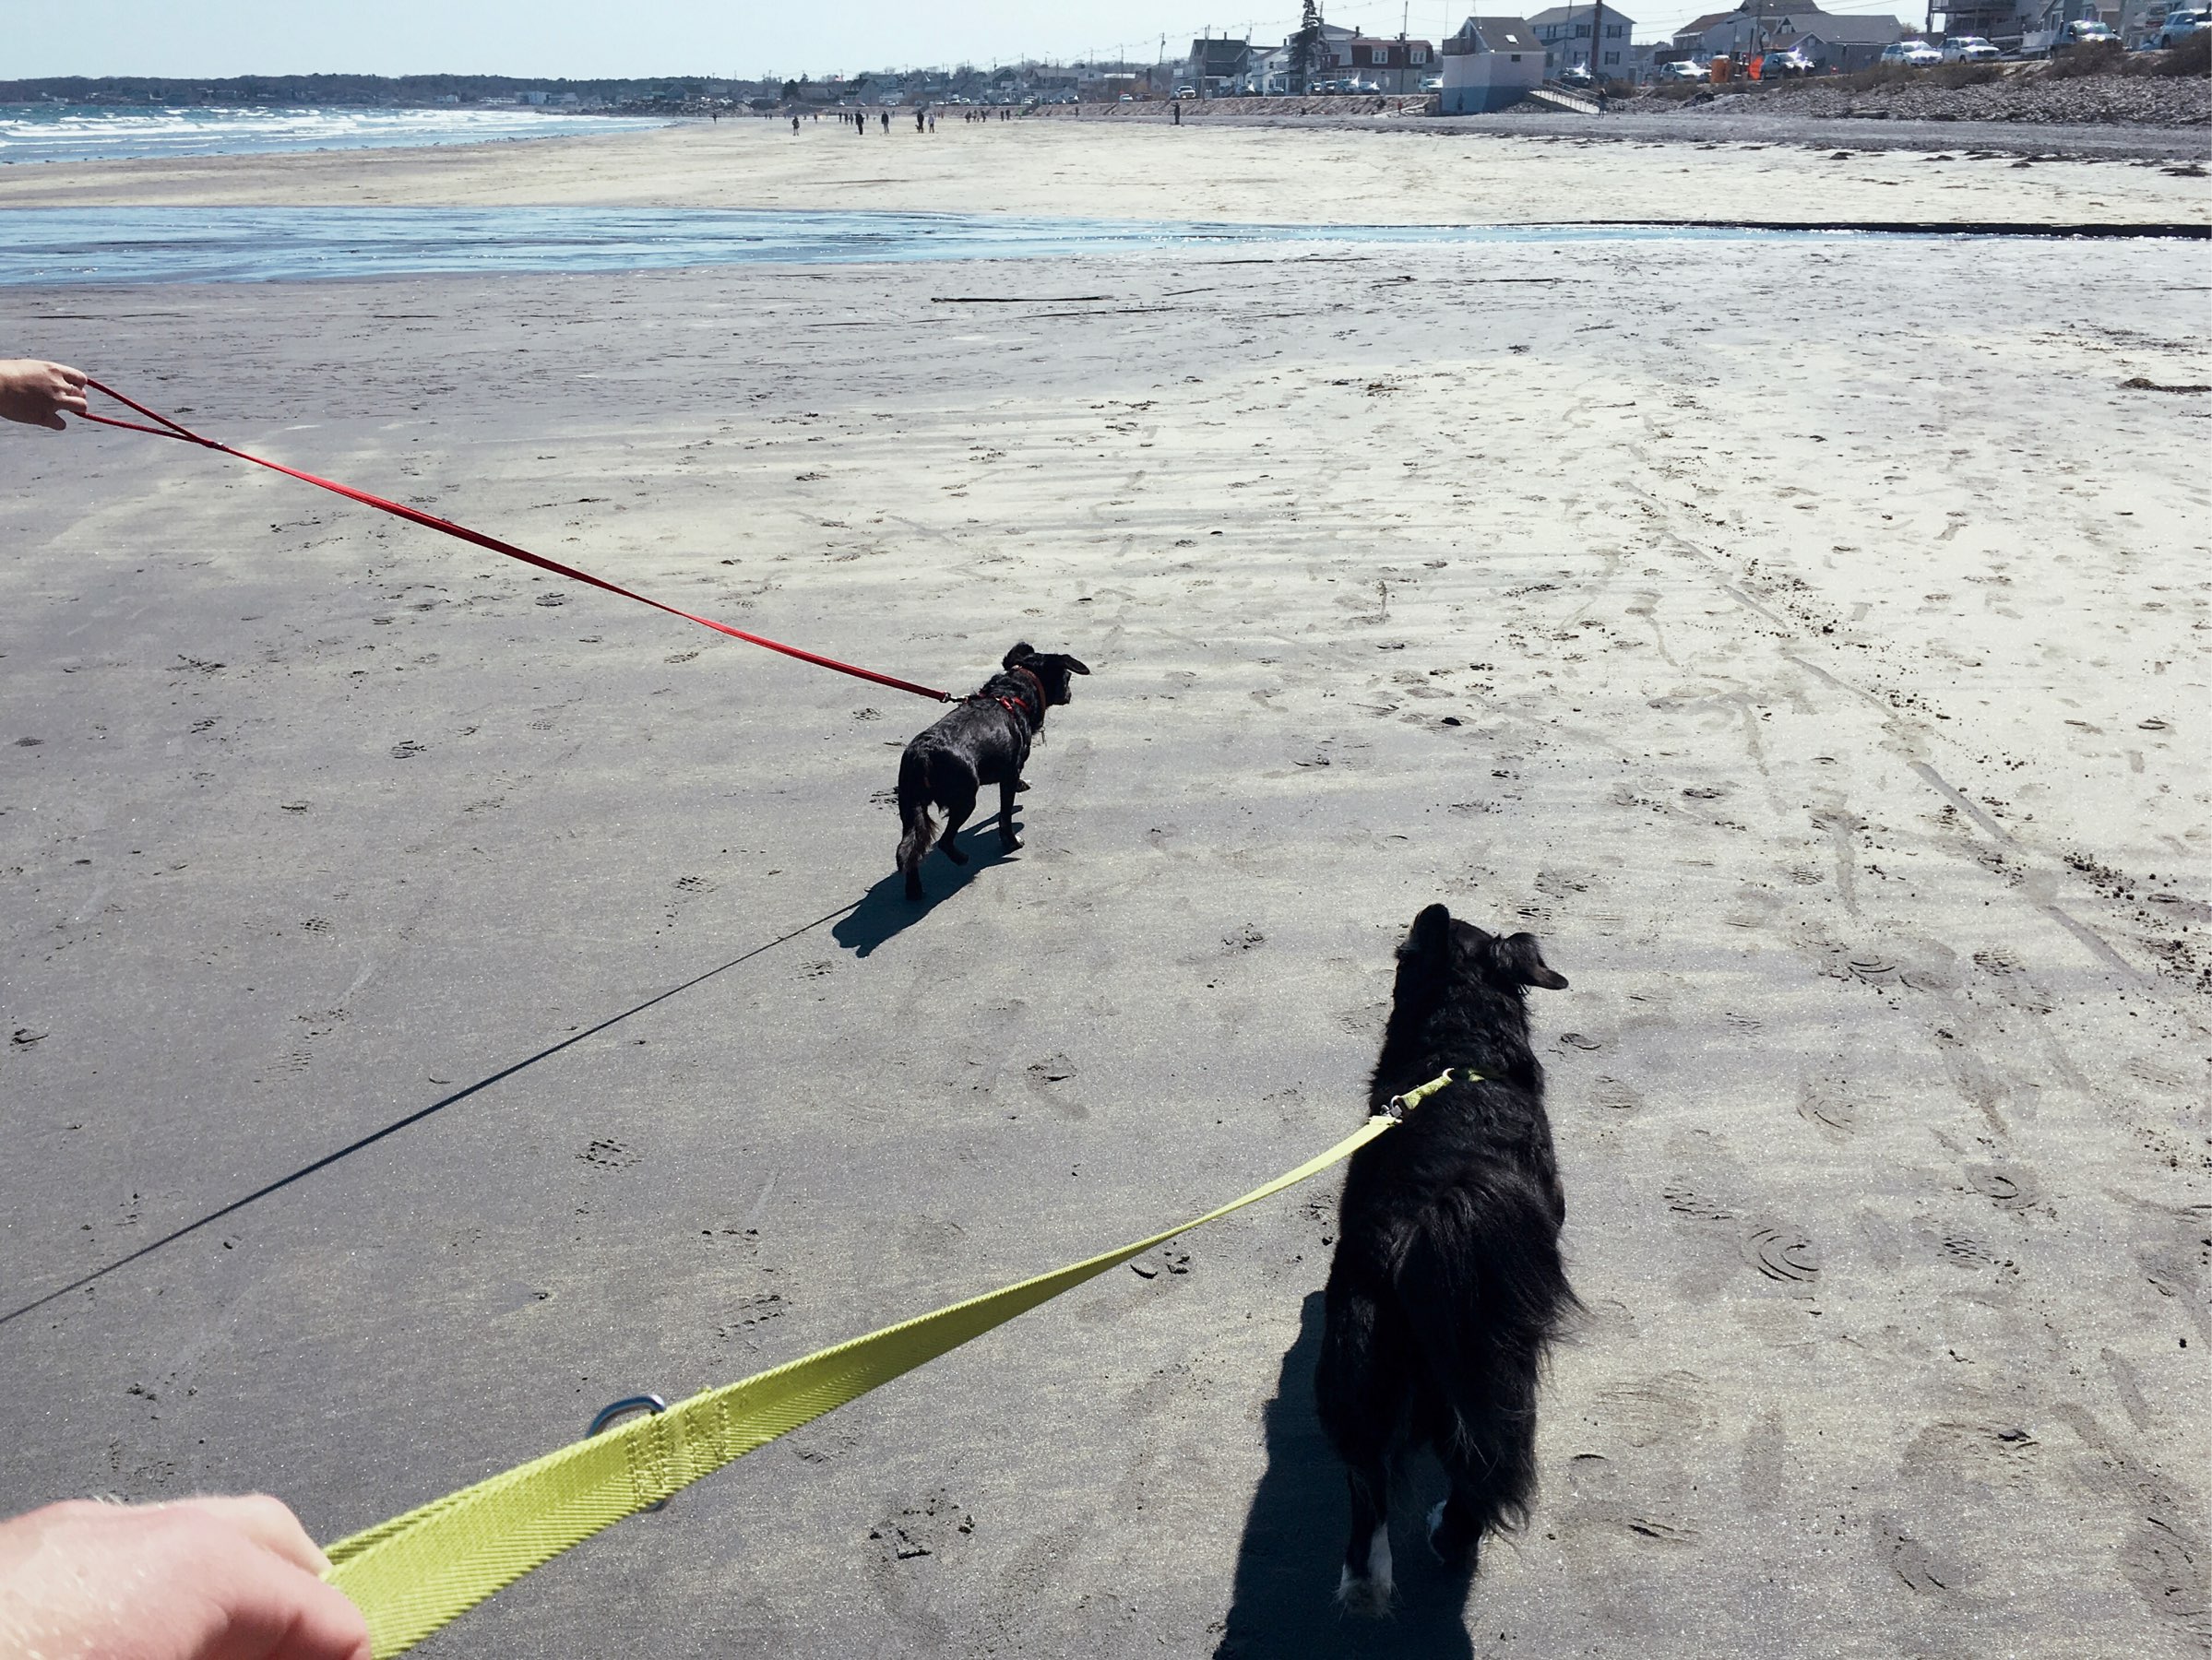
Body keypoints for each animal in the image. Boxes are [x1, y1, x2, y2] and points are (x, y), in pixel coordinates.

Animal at [898, 641, 1088, 901]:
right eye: (1067, 678)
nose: (1070, 695)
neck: (1014, 693)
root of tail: (924, 753)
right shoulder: (1010, 773)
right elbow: (1005, 815)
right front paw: (1012, 842)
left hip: (910, 807)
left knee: (912, 847)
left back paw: (914, 889)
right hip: (965, 799)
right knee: (944, 841)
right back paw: (961, 859)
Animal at [1309, 901, 1575, 1618]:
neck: (1463, 1048)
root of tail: (1434, 1207)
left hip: (1365, 1344)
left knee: (1371, 1478)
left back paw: (1370, 1580)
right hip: (1498, 1361)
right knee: (1475, 1464)